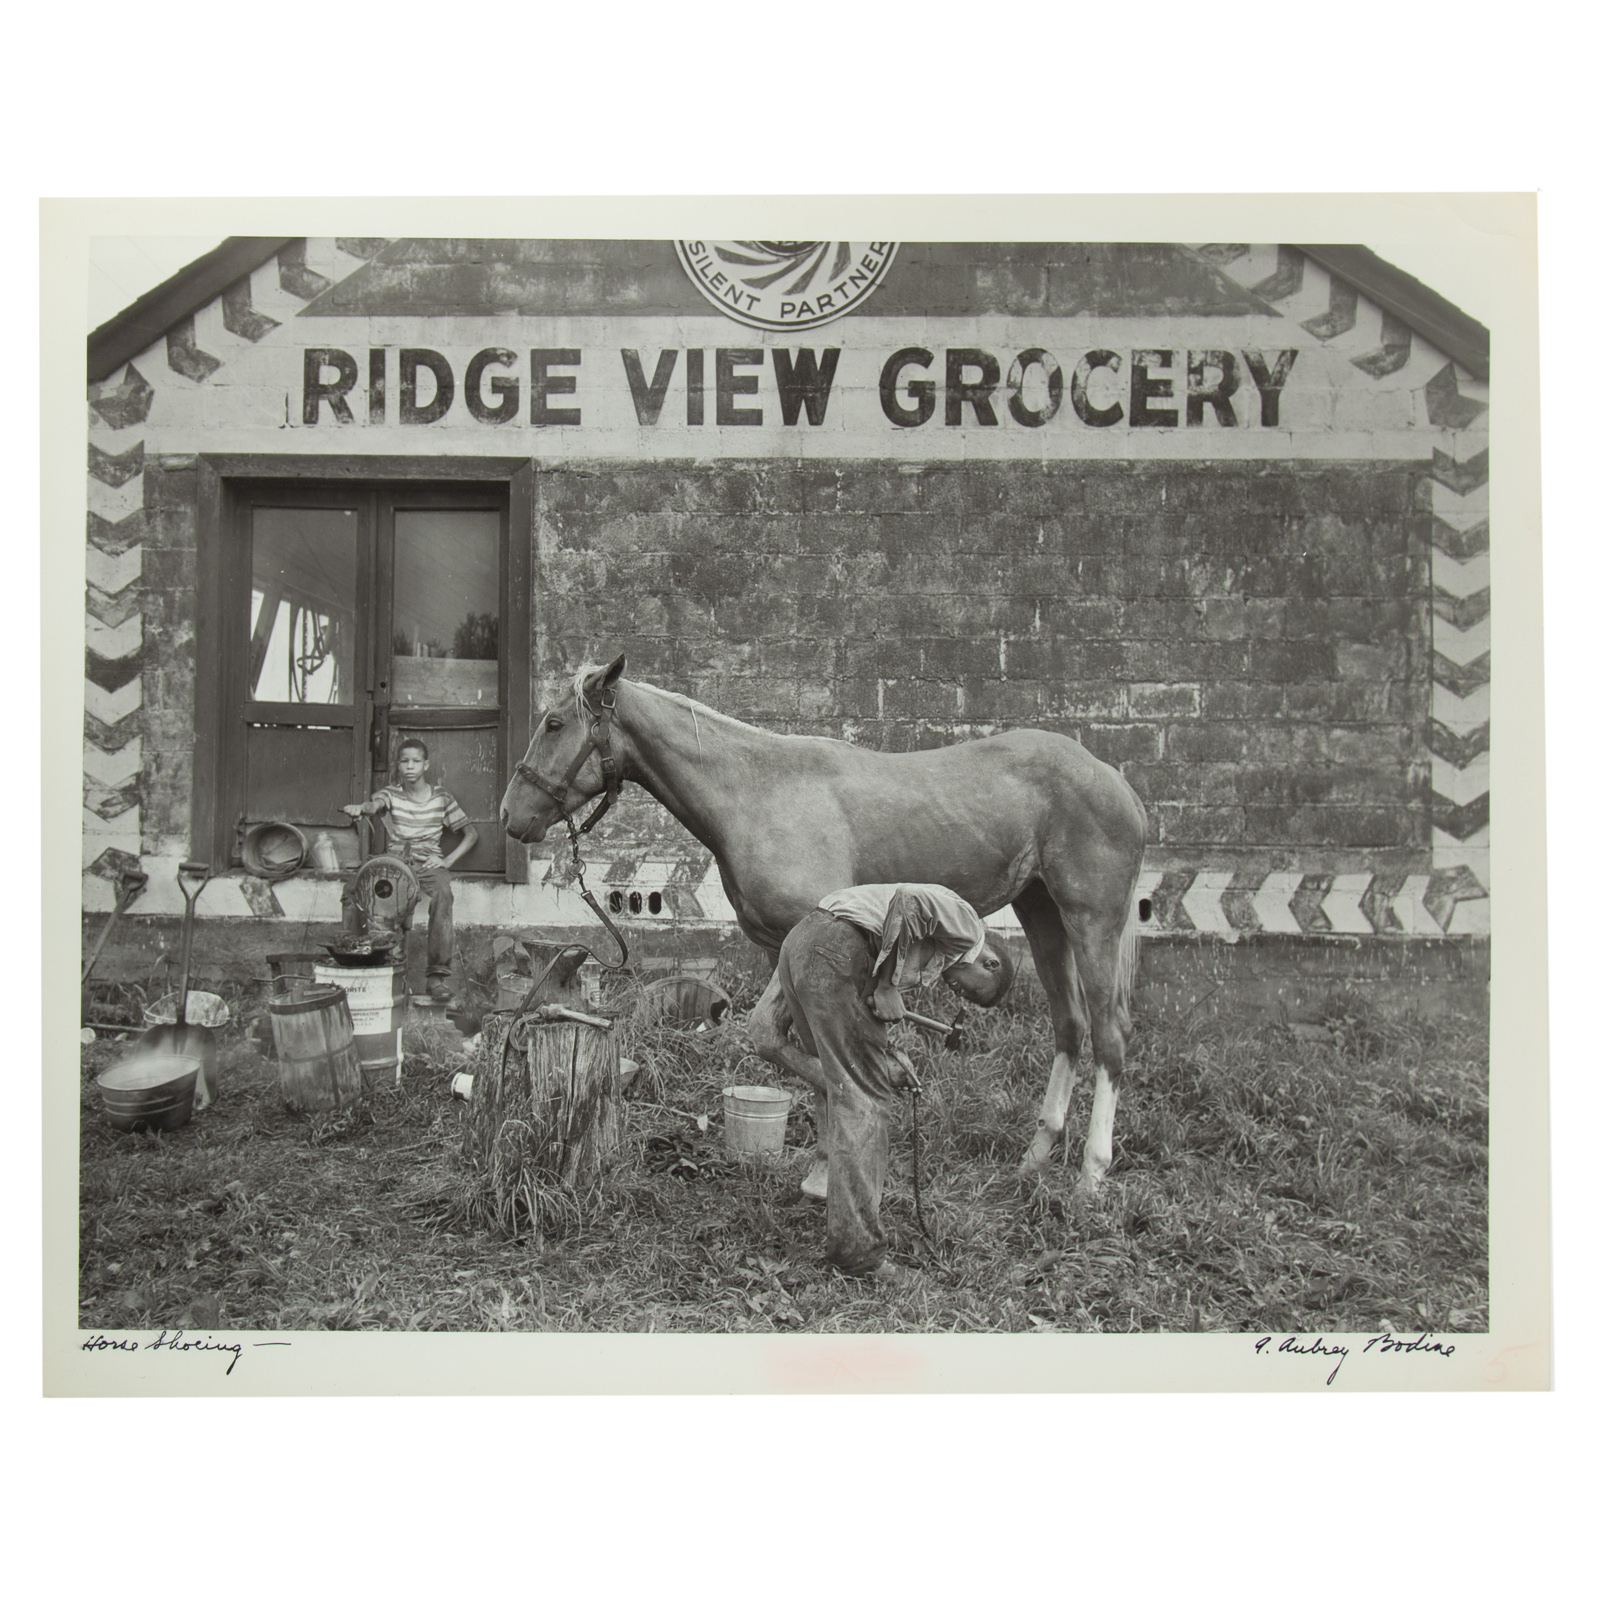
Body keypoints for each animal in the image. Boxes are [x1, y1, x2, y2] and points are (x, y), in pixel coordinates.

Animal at [502, 656, 1152, 1196]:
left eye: (555, 723)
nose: (512, 816)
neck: (756, 792)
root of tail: (1116, 779)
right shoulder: (780, 954)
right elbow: (803, 1048)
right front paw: (824, 1167)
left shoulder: (806, 941)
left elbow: (768, 1036)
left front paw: (879, 1096)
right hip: (1042, 914)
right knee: (1070, 1027)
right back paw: (1034, 1160)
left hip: (1091, 919)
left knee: (1109, 1035)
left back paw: (1090, 1179)